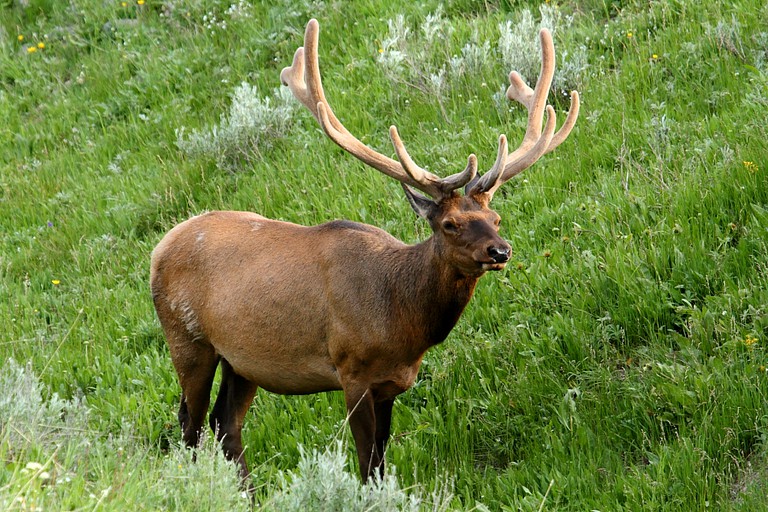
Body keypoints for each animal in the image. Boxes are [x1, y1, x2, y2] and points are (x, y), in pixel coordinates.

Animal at [150, 19, 580, 484]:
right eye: (449, 224)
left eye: (495, 217)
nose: (500, 250)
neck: (402, 322)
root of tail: (157, 249)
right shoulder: (351, 371)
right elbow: (366, 463)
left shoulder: (392, 383)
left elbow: (381, 463)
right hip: (187, 340)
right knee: (189, 426)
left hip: (241, 361)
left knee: (225, 424)